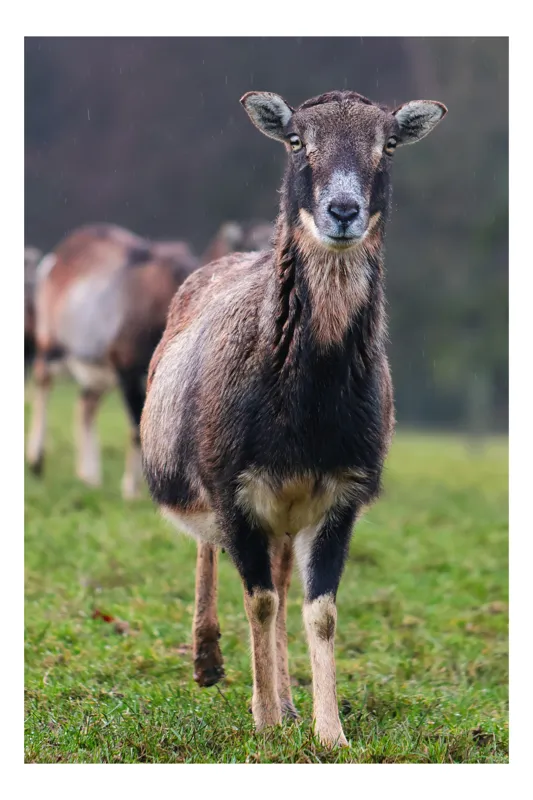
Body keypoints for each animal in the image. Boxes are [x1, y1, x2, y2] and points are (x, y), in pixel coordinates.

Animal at [27, 223, 198, 498]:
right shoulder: (128, 371)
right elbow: (136, 431)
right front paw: (131, 491)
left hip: (100, 372)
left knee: (86, 405)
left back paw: (90, 477)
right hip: (50, 346)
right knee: (44, 383)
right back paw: (36, 461)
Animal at [141, 89, 446, 746]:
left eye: (388, 144)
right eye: (297, 141)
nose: (343, 210)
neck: (306, 409)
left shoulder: (340, 494)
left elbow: (319, 610)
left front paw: (328, 732)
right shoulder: (232, 488)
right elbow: (256, 600)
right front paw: (261, 723)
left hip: (284, 514)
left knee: (283, 586)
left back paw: (285, 701)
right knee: (218, 558)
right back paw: (209, 663)